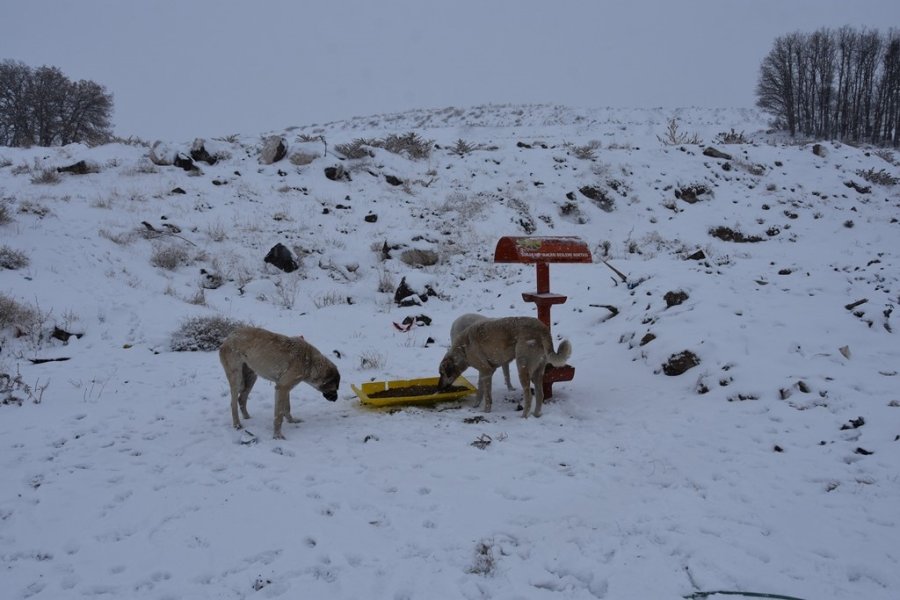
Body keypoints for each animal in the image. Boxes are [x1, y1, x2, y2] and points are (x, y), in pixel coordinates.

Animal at [440, 316, 572, 420]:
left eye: (442, 373)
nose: (440, 387)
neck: (462, 349)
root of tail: (542, 328)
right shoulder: (484, 372)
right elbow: (480, 391)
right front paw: (476, 405)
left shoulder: (487, 371)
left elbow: (487, 396)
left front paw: (486, 411)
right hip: (537, 373)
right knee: (540, 395)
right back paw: (536, 415)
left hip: (522, 369)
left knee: (529, 396)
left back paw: (524, 417)